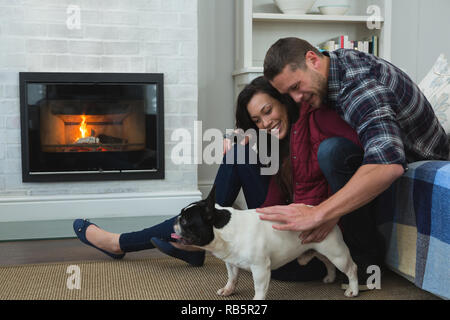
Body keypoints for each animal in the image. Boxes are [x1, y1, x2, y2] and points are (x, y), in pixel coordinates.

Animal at [172, 185, 358, 300]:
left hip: (337, 253)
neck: (224, 229)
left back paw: (353, 290)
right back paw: (330, 277)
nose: (176, 219)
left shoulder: (260, 268)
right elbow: (232, 278)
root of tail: (328, 218)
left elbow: (260, 288)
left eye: (186, 221)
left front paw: (257, 300)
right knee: (328, 262)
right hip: (321, 250)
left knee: (351, 268)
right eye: (181, 216)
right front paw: (228, 290)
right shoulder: (231, 262)